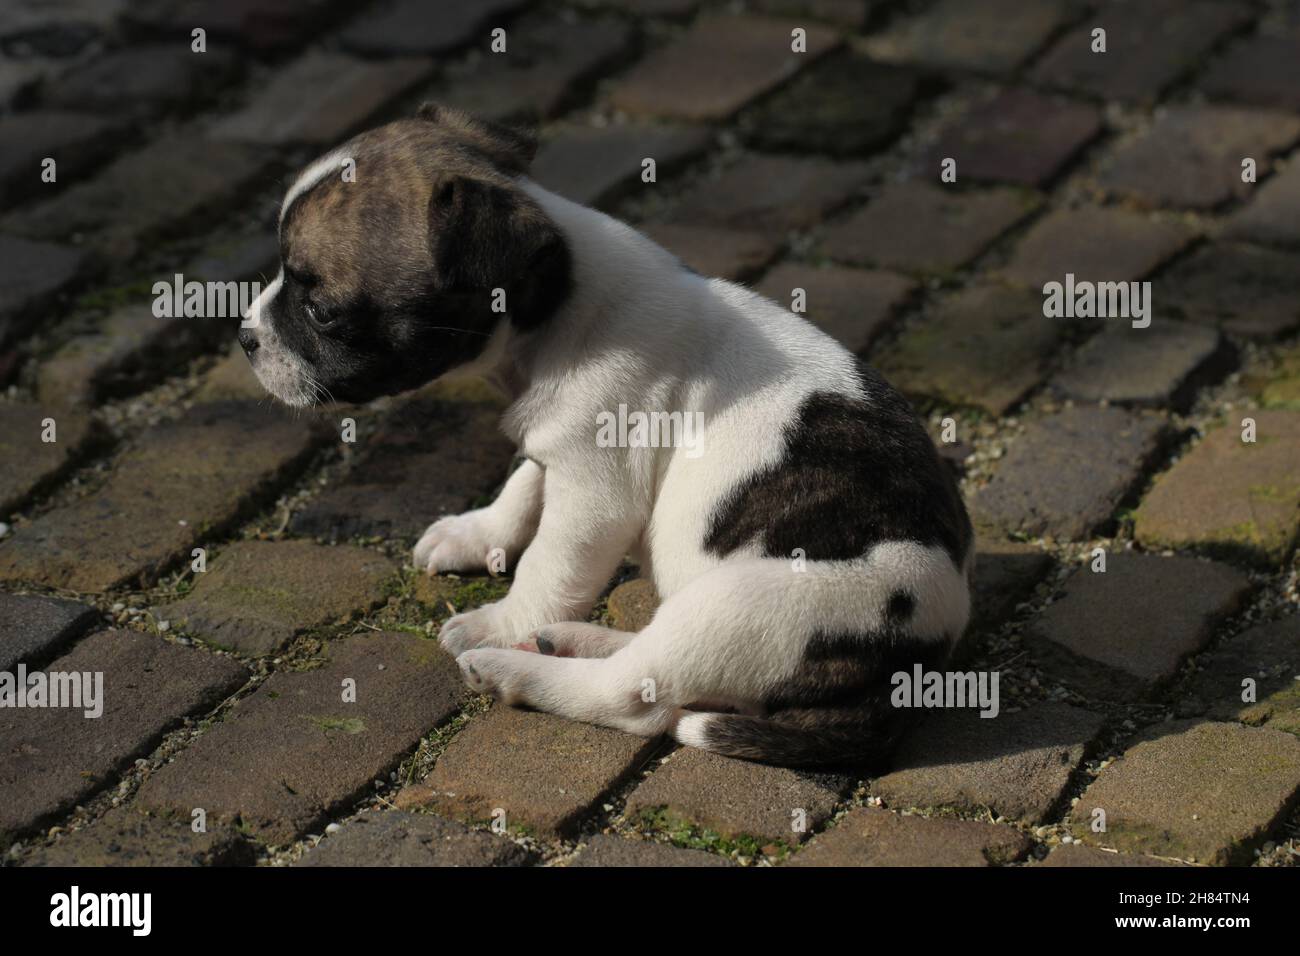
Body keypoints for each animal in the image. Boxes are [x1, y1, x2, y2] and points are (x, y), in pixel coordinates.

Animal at [245, 102, 977, 770]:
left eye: (321, 309)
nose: (246, 336)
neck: (557, 299)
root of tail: (916, 659)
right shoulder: (555, 448)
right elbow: (524, 483)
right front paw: (476, 534)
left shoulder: (593, 491)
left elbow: (547, 562)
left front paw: (499, 621)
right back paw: (567, 640)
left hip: (739, 608)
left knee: (636, 698)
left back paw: (517, 666)